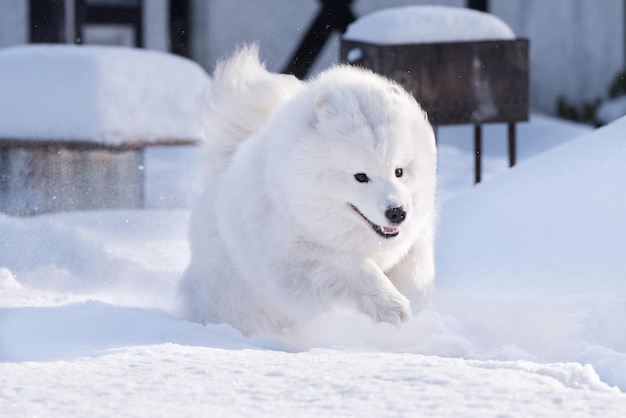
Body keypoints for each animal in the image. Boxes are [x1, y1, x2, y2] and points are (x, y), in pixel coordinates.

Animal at [178, 45, 436, 338]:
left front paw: (413, 298)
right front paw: (390, 306)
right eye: (360, 177)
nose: (397, 213)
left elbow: (416, 268)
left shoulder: (416, 231)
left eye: (399, 171)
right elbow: (355, 268)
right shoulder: (295, 258)